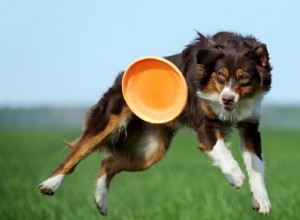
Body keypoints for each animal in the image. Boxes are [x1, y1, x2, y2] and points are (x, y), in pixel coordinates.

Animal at [37, 31, 272, 216]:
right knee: (76, 154)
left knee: (108, 162)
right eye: (220, 76)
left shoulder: (250, 125)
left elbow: (256, 165)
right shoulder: (205, 123)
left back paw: (101, 201)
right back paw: (49, 184)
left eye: (244, 78)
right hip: (109, 121)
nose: (227, 100)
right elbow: (221, 150)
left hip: (150, 151)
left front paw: (261, 200)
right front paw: (235, 176)